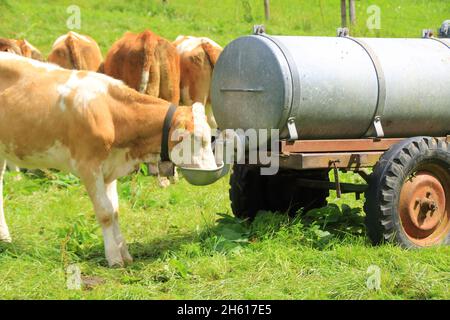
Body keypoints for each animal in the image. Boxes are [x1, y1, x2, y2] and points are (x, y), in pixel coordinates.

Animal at [0, 53, 218, 268]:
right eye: (198, 139)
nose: (213, 170)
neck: (110, 113)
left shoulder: (110, 170)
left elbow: (115, 211)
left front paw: (125, 253)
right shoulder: (89, 168)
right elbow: (105, 212)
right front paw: (113, 257)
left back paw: (4, 239)